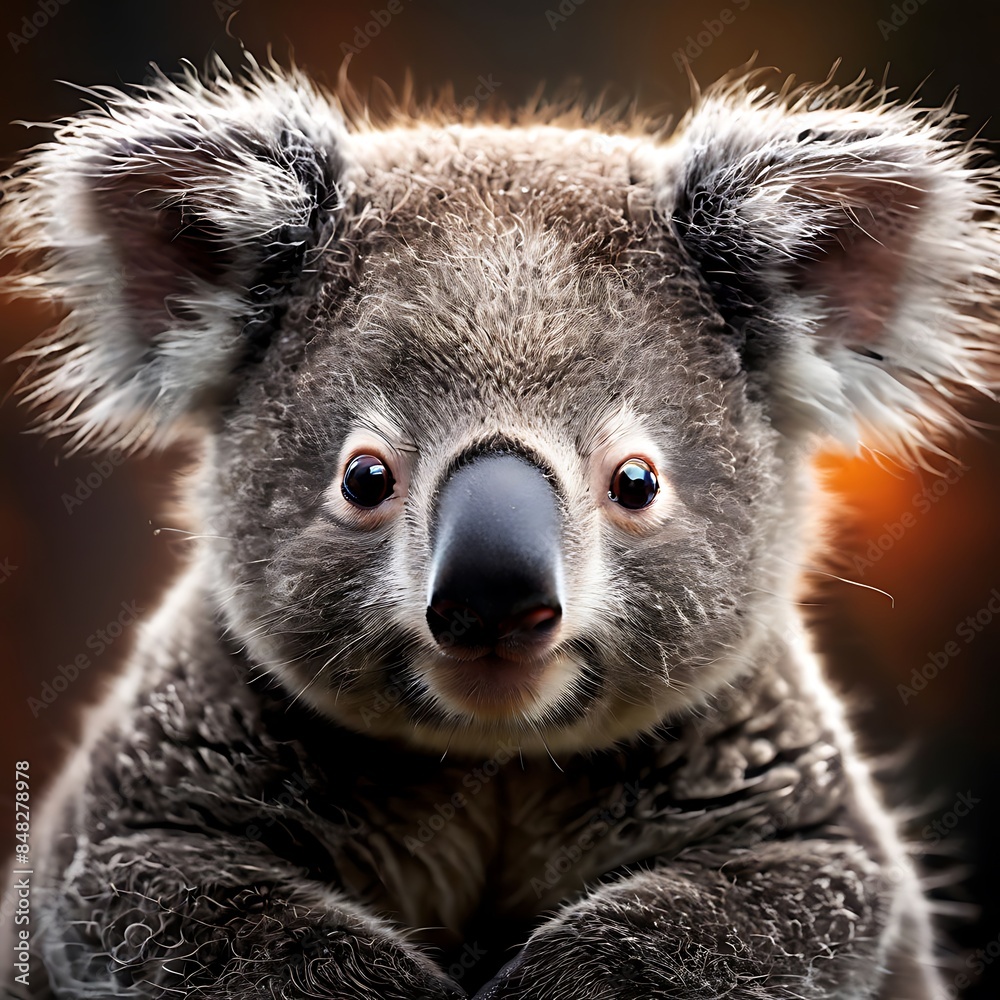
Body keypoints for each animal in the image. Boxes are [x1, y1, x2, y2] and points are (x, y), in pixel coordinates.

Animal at [2, 55, 996, 999]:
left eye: (636, 482)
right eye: (365, 478)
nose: (493, 601)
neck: (498, 757)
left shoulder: (799, 825)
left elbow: (777, 907)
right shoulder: (139, 825)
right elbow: (168, 898)